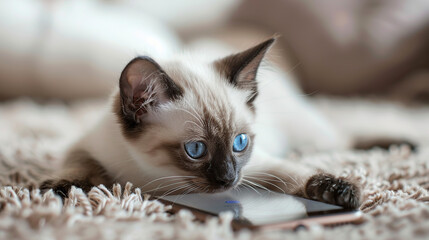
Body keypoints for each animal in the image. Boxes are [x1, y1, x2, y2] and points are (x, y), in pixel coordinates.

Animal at [40, 37, 360, 208]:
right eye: (195, 150)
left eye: (239, 143)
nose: (228, 179)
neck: (154, 177)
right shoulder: (85, 147)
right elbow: (81, 166)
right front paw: (61, 189)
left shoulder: (257, 166)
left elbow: (293, 174)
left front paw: (340, 190)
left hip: (314, 135)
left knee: (344, 139)